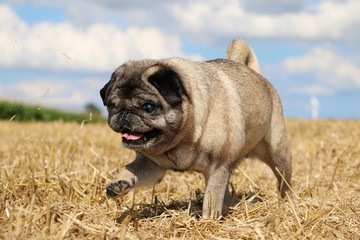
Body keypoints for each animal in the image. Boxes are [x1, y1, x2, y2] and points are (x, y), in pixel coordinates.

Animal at [100, 39, 292, 219]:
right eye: (111, 105)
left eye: (149, 107)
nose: (124, 113)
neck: (180, 139)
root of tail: (256, 74)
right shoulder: (151, 164)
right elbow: (129, 169)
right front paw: (119, 184)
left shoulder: (217, 166)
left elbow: (211, 199)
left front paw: (208, 221)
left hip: (278, 154)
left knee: (283, 180)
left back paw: (287, 202)